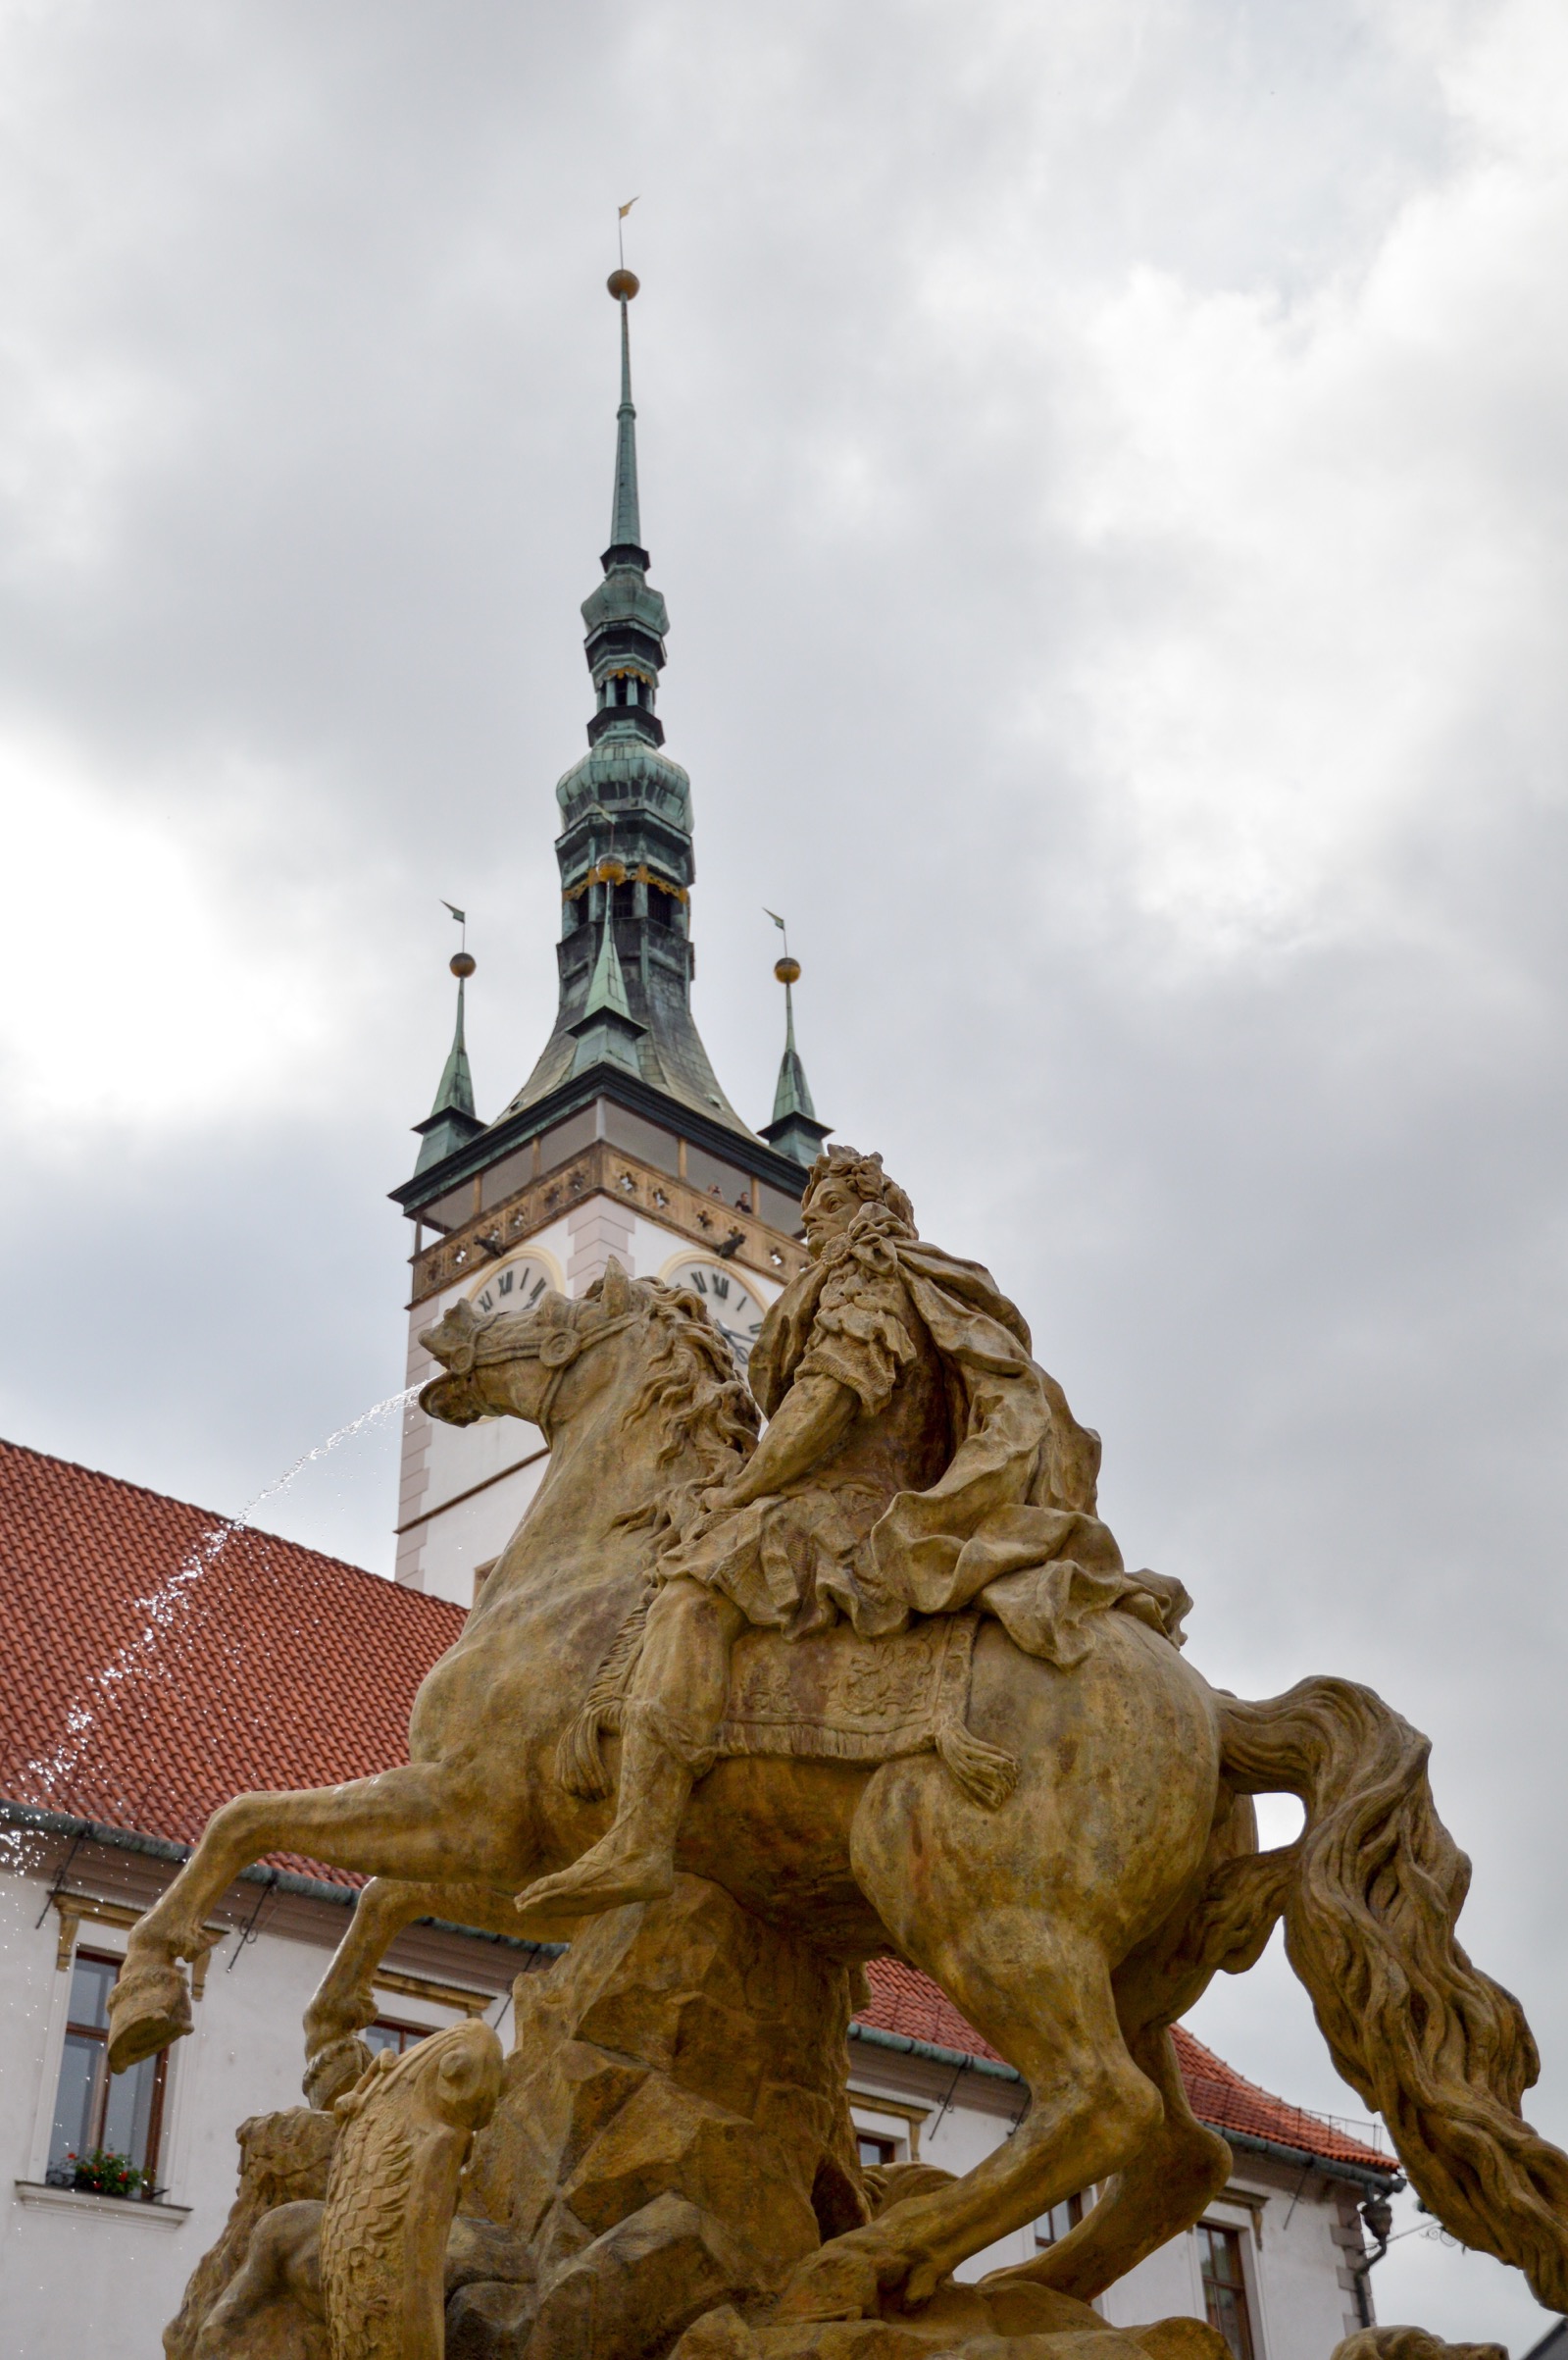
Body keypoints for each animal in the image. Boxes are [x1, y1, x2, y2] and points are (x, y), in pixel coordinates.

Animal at [103, 1264, 1565, 2312]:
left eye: (555, 1306)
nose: (454, 1335)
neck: (580, 1568)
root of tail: (1212, 1709)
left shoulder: (472, 1802)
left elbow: (252, 1821)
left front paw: (147, 1992)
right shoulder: (498, 1836)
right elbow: (373, 1896)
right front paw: (335, 2040)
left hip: (974, 1905)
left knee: (1095, 2103)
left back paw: (869, 2262)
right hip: (1133, 1968)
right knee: (1176, 2152)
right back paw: (1012, 2283)